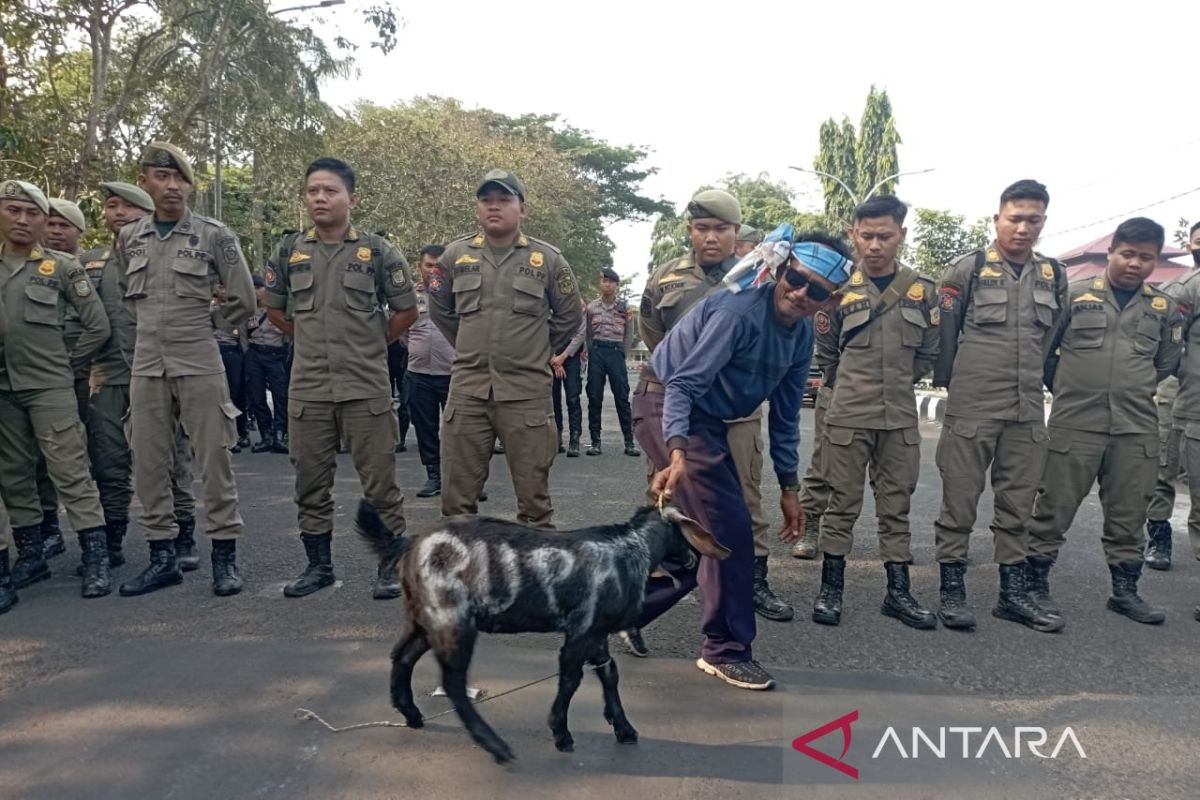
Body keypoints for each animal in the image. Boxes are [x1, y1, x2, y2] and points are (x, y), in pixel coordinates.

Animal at [352, 496, 729, 767]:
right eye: (684, 530)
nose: (693, 559)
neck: (632, 548)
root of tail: (411, 544)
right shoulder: (581, 631)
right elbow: (571, 679)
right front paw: (561, 733)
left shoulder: (596, 631)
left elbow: (609, 674)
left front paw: (623, 727)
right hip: (452, 618)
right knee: (453, 682)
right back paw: (494, 745)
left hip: (424, 618)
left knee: (402, 656)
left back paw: (411, 714)